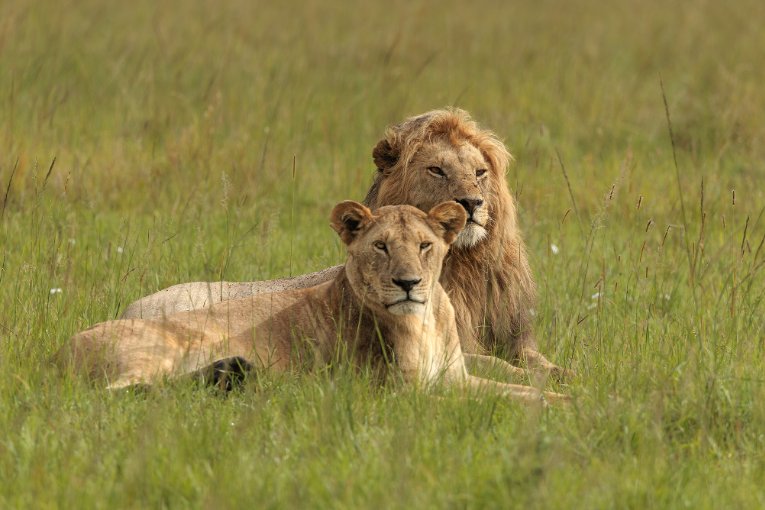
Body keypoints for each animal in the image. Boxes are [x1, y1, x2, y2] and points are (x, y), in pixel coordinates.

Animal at [60, 201, 567, 405]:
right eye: (381, 246)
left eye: (425, 246)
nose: (408, 283)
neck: (423, 322)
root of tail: (57, 354)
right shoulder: (407, 392)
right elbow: (507, 400)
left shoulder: (456, 376)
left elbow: (524, 389)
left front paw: (577, 402)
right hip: (160, 348)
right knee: (123, 395)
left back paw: (231, 376)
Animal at [121, 109, 569, 380]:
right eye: (437, 170)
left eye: (479, 173)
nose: (472, 203)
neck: (469, 262)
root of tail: (126, 309)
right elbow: (499, 366)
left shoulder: (516, 337)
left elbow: (537, 360)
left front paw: (567, 374)